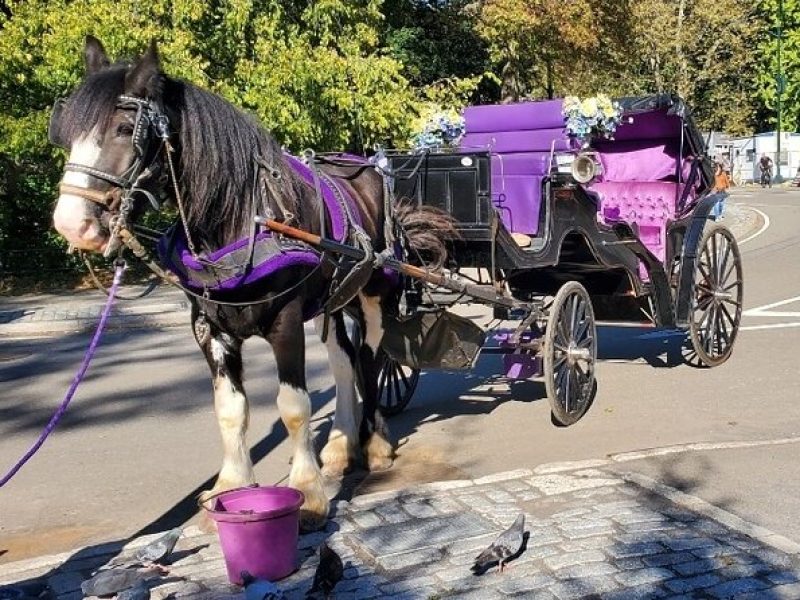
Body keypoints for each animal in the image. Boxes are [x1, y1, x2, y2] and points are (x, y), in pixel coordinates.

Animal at [50, 35, 454, 528]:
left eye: (126, 129)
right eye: (65, 133)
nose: (72, 224)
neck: (241, 218)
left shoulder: (286, 322)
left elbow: (294, 408)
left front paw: (308, 492)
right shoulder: (210, 329)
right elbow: (230, 410)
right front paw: (232, 485)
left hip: (376, 292)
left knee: (371, 359)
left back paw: (375, 444)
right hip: (335, 299)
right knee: (344, 362)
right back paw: (341, 445)